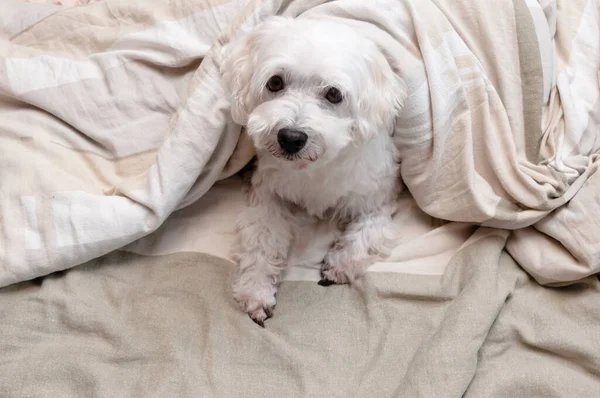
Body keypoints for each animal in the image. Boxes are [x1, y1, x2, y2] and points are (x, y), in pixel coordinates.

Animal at [220, 16, 408, 326]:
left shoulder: (377, 197)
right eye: (275, 82)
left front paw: (341, 264)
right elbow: (261, 240)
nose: (291, 137)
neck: (313, 168)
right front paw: (256, 290)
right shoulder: (267, 194)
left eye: (333, 94)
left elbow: (367, 232)